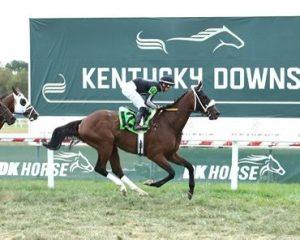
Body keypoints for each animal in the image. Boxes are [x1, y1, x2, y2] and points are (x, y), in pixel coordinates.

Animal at [43, 81, 219, 200]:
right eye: (204, 97)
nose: (216, 113)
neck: (168, 124)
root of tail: (84, 121)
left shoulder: (171, 154)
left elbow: (190, 167)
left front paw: (190, 192)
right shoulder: (155, 155)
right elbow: (172, 173)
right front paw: (151, 183)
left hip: (112, 146)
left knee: (118, 170)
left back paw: (138, 191)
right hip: (104, 144)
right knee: (100, 168)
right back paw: (125, 188)